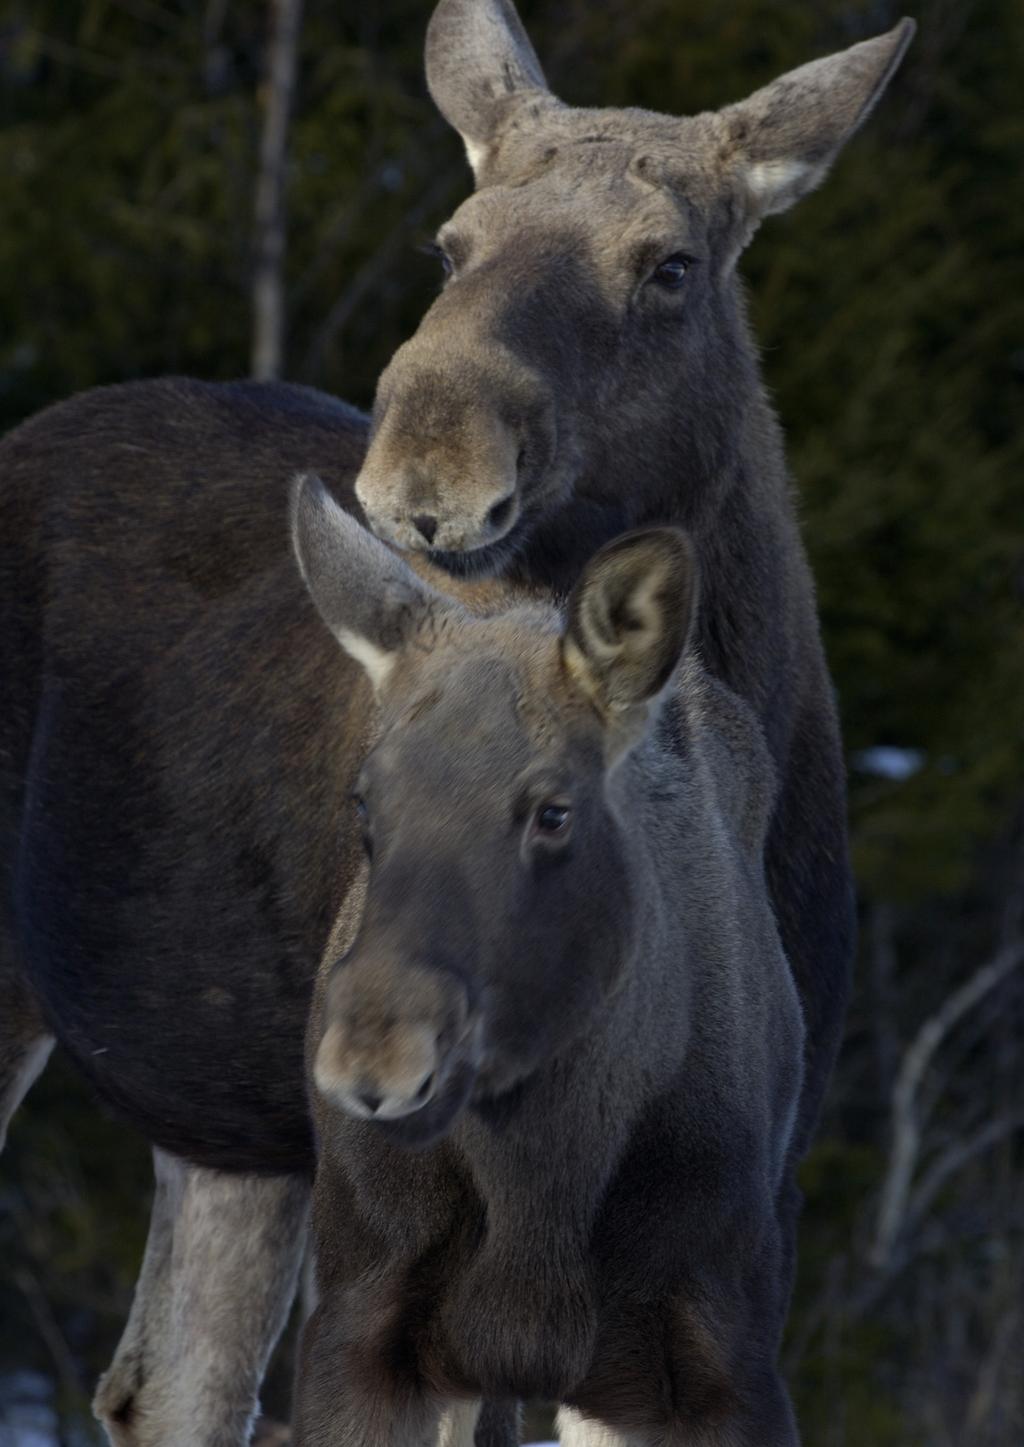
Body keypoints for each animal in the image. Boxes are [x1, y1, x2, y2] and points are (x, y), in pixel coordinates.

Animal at [290, 477, 809, 1447]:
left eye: (553, 811)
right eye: (365, 802)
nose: (374, 1058)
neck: (540, 1191)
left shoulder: (721, 1359)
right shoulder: (357, 1327)